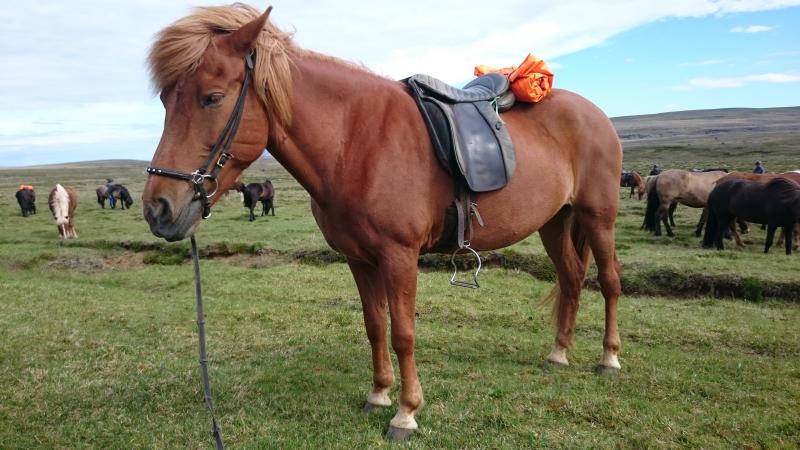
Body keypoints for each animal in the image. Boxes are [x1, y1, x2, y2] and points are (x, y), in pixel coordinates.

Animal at [140, 4, 623, 439]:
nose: (157, 209)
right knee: (572, 278)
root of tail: (595, 114)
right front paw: (378, 395)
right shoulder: (359, 258)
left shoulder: (400, 256)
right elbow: (375, 326)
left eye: (212, 97)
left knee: (609, 282)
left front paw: (406, 414)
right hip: (555, 222)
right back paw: (559, 354)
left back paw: (608, 359)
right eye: (165, 100)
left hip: (598, 218)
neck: (356, 141)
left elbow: (403, 332)